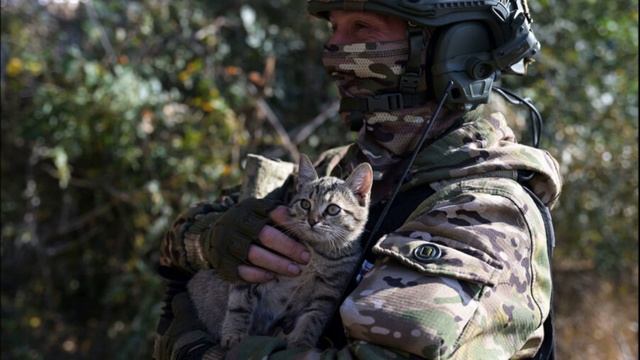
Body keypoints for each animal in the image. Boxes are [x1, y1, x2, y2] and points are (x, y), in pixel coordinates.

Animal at [188, 155, 372, 348]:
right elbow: (240, 304)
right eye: (305, 204)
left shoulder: (328, 292)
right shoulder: (253, 270)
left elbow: (313, 317)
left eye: (333, 209)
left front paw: (300, 342)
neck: (316, 253)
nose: (312, 221)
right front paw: (234, 334)